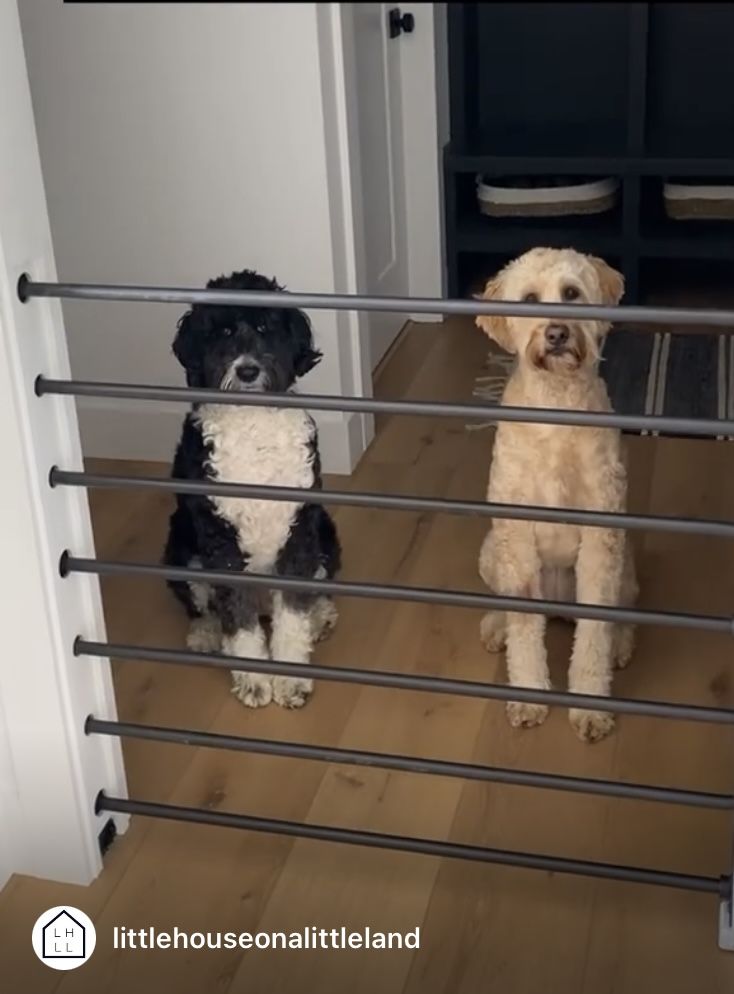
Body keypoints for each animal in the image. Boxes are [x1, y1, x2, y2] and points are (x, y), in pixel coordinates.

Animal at [164, 270, 342, 704]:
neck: (253, 424)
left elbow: (293, 614)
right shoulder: (220, 542)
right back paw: (206, 635)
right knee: (202, 606)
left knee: (313, 594)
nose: (247, 371)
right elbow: (237, 616)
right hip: (180, 550)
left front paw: (291, 677)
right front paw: (255, 679)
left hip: (326, 537)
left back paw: (321, 617)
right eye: (223, 330)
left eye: (265, 327)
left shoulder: (300, 532)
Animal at [478, 248, 640, 740]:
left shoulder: (602, 538)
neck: (556, 404)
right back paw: (496, 626)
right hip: (491, 552)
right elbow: (524, 629)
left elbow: (595, 632)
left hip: (626, 565)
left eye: (571, 292)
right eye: (529, 299)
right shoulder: (514, 537)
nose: (556, 333)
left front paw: (590, 708)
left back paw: (621, 645)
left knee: (623, 611)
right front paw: (529, 697)